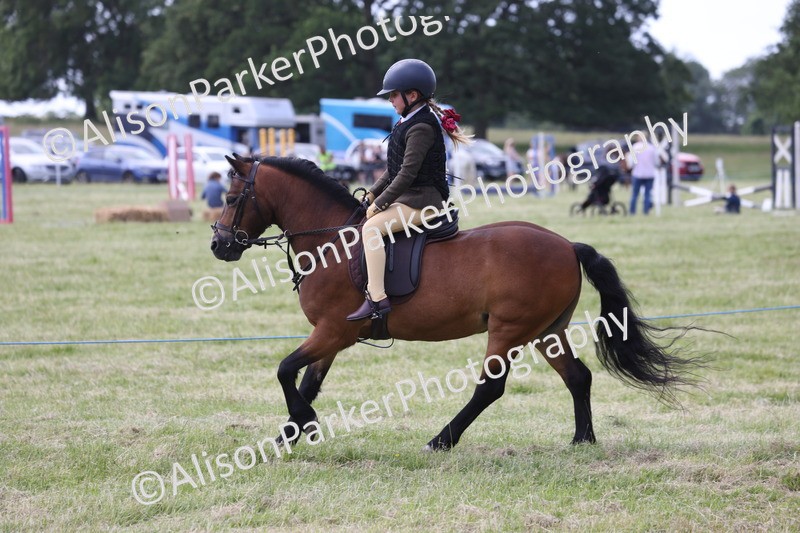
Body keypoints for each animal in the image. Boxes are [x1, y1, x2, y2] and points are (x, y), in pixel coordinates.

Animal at [210, 154, 701, 451]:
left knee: (490, 388)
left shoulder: (335, 331)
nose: (219, 245)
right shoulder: (330, 336)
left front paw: (303, 424)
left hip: (508, 331)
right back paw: (583, 439)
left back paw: (441, 440)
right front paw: (287, 436)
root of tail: (566, 245)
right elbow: (307, 380)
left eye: (232, 197)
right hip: (546, 331)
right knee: (577, 377)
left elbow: (285, 371)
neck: (332, 240)